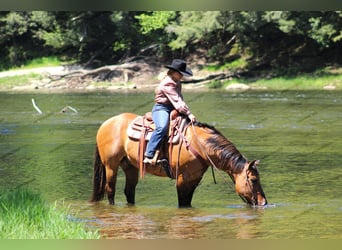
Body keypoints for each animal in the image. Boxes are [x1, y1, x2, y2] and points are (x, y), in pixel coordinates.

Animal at [90, 113, 268, 207]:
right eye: (253, 179)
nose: (264, 202)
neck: (199, 145)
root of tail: (105, 124)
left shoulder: (194, 179)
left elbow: (187, 201)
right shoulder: (182, 178)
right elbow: (183, 202)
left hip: (130, 167)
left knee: (129, 191)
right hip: (111, 166)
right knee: (110, 190)